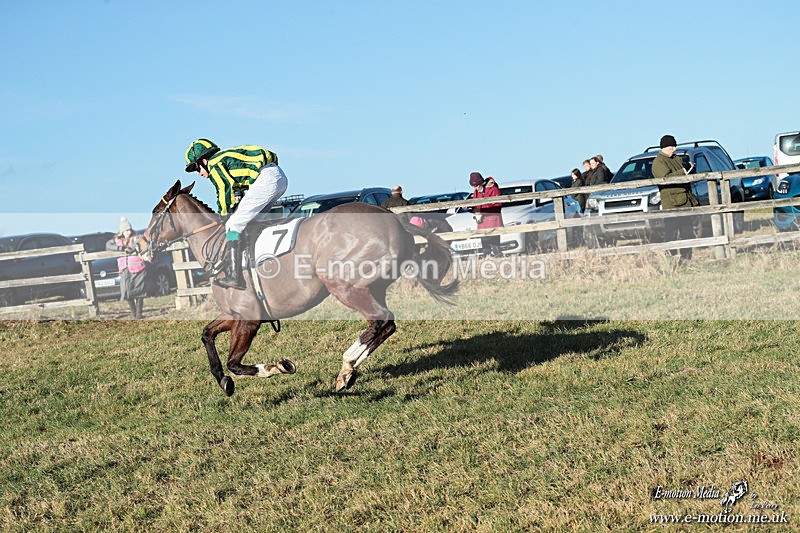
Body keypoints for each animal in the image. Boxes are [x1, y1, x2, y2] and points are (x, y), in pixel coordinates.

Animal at [140, 180, 458, 396]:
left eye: (155, 212)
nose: (141, 245)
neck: (217, 247)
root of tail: (395, 220)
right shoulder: (235, 315)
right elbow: (207, 335)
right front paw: (224, 382)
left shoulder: (248, 319)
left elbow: (235, 362)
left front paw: (277, 367)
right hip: (371, 288)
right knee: (383, 325)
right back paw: (347, 372)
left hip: (343, 285)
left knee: (381, 321)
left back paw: (346, 366)